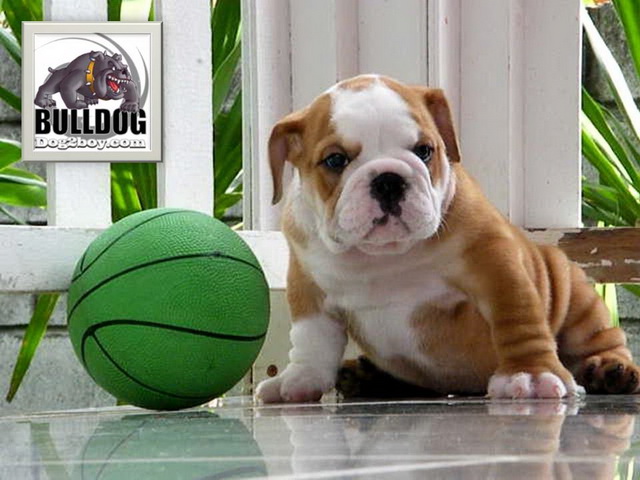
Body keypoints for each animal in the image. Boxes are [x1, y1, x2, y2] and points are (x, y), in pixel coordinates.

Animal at [256, 74, 640, 402]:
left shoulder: (496, 265)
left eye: (424, 150)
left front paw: (530, 374)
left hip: (577, 297)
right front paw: (299, 379)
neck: (382, 258)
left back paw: (611, 372)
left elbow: (518, 318)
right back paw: (367, 376)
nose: (388, 180)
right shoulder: (308, 286)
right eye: (335, 160)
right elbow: (311, 337)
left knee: (601, 339)